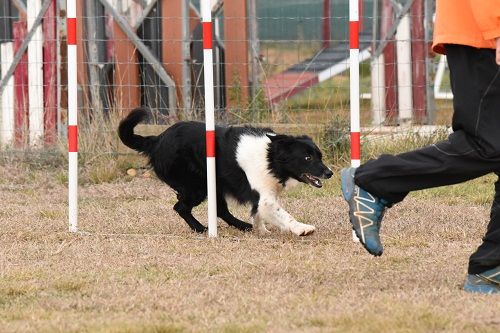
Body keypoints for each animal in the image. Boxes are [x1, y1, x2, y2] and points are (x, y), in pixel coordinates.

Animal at [119, 107, 334, 235]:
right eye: (307, 158)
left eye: (320, 156)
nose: (329, 173)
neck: (271, 156)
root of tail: (156, 140)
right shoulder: (264, 197)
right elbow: (282, 214)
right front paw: (302, 228)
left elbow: (258, 213)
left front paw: (261, 230)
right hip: (197, 187)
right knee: (180, 207)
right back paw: (200, 229)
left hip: (214, 185)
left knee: (220, 210)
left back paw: (242, 226)